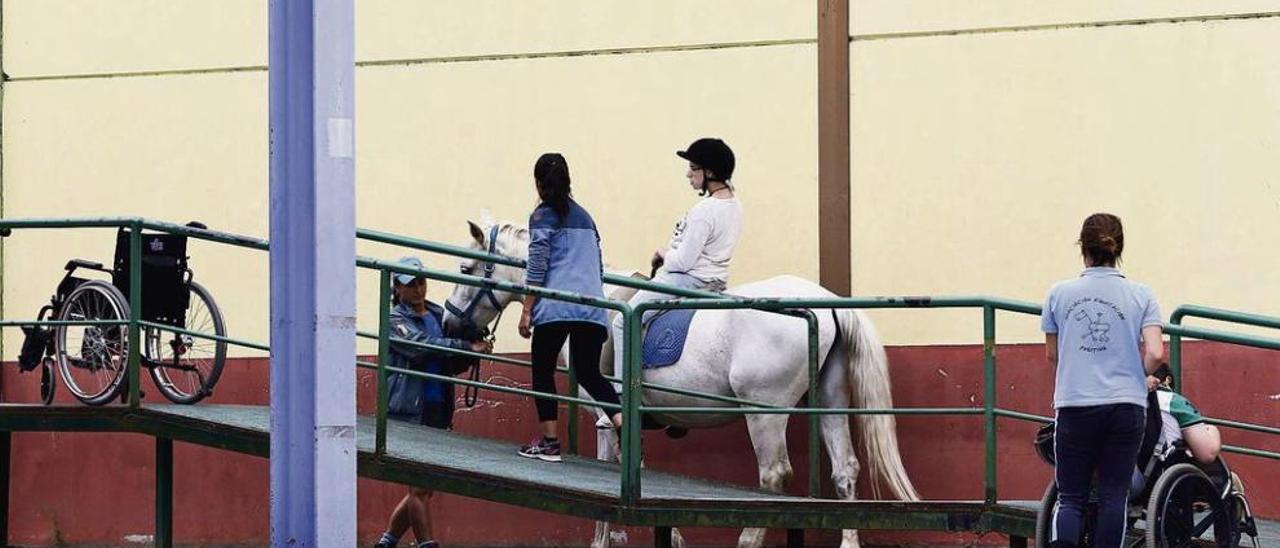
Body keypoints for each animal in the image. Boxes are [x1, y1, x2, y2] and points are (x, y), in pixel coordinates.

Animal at [442, 218, 921, 548]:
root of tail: (826, 302)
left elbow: (610, 477)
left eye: (465, 265)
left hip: (764, 413)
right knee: (845, 470)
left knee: (773, 476)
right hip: (832, 400)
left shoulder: (605, 417)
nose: (449, 322)